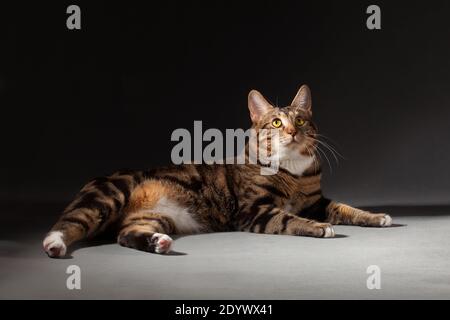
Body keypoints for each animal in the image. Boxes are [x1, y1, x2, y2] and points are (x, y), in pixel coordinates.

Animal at [44, 84, 392, 258]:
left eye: (301, 119)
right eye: (276, 122)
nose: (293, 131)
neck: (292, 171)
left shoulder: (316, 201)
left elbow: (345, 207)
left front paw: (377, 217)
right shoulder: (253, 210)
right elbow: (287, 218)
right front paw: (319, 228)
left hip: (154, 215)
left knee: (125, 235)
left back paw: (158, 242)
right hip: (108, 194)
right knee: (69, 221)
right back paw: (55, 244)